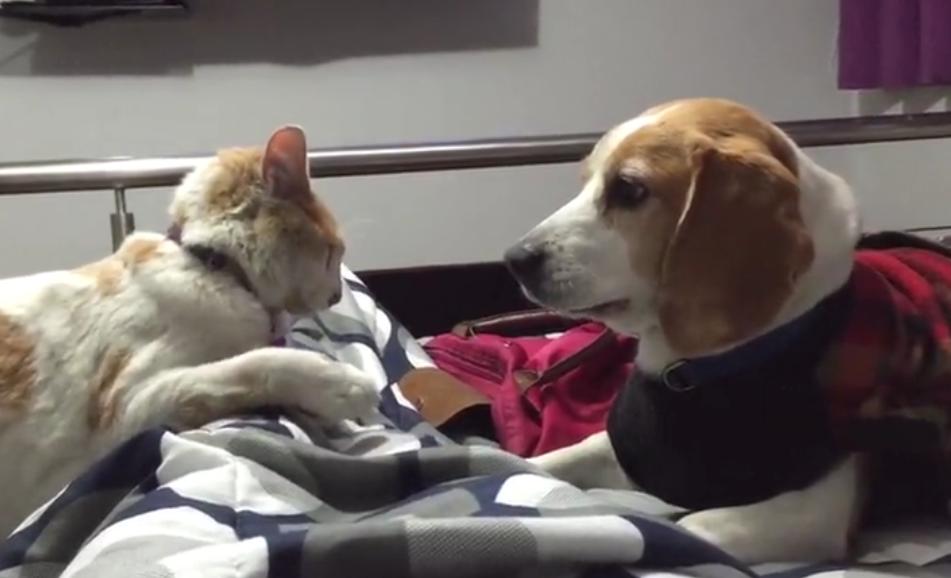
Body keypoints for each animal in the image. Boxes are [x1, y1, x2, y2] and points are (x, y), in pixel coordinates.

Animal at [0, 126, 380, 536]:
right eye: (333, 251)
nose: (337, 293)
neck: (211, 265)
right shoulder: (127, 410)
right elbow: (255, 364)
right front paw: (343, 386)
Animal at [510, 98, 951, 564]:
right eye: (585, 181)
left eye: (629, 189)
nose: (514, 258)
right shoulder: (626, 451)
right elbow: (545, 461)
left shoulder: (815, 513)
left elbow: (686, 528)